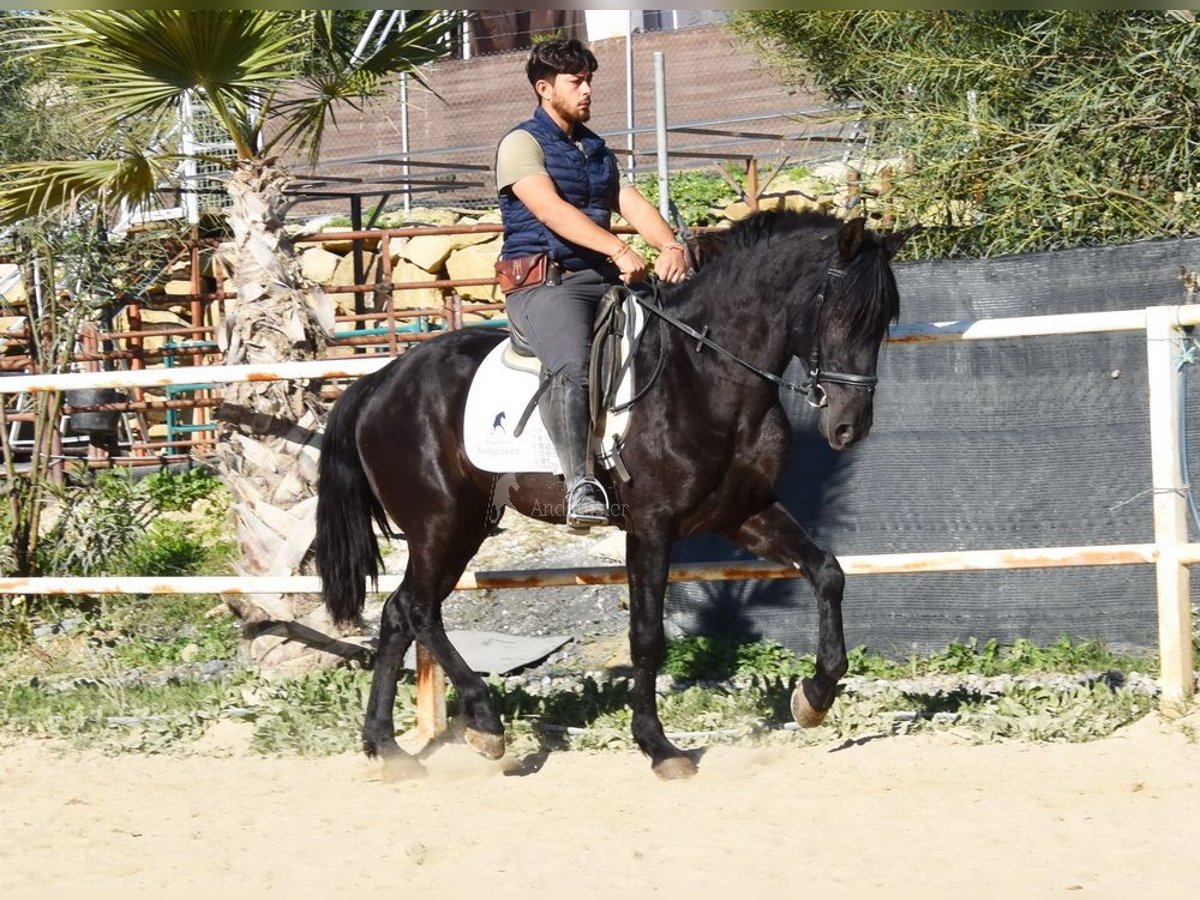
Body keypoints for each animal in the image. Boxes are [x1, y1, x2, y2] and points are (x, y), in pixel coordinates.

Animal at [314, 213, 912, 782]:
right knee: (418, 609)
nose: (850, 427)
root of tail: (380, 381)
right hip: (439, 523)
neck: (707, 374)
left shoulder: (743, 513)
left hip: (463, 527)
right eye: (840, 313)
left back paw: (388, 747)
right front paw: (659, 748)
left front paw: (814, 698)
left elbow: (827, 572)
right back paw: (484, 724)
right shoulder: (651, 526)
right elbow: (646, 636)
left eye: (883, 321)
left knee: (400, 612)